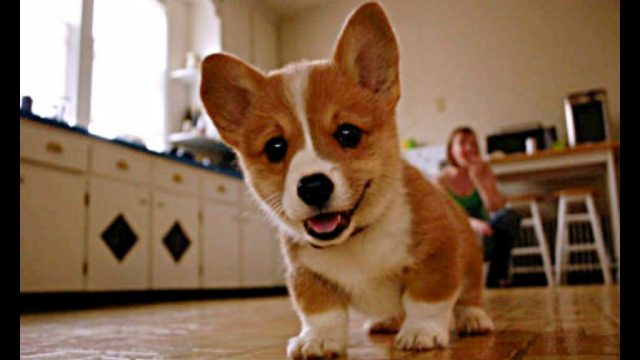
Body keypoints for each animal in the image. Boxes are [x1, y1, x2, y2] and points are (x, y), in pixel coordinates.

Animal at [200, 2, 496, 358]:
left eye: (348, 133)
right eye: (275, 147)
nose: (313, 186)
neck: (354, 239)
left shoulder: (437, 255)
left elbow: (426, 301)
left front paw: (421, 332)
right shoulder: (307, 275)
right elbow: (321, 313)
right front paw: (317, 340)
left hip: (471, 261)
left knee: (469, 295)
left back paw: (473, 319)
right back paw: (386, 321)